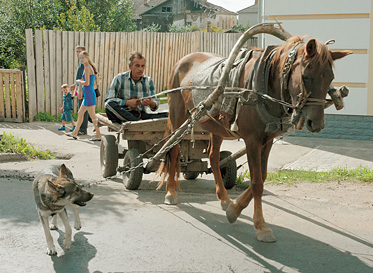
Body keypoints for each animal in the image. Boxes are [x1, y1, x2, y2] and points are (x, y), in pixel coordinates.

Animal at [158, 35, 352, 241]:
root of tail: (183, 60)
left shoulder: (267, 140)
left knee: (213, 156)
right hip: (177, 114)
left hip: (215, 125)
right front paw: (261, 226)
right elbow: (257, 182)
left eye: (330, 78)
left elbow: (263, 176)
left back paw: (224, 198)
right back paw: (170, 191)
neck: (263, 86)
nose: (316, 124)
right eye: (306, 76)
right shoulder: (252, 141)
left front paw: (234, 209)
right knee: (173, 149)